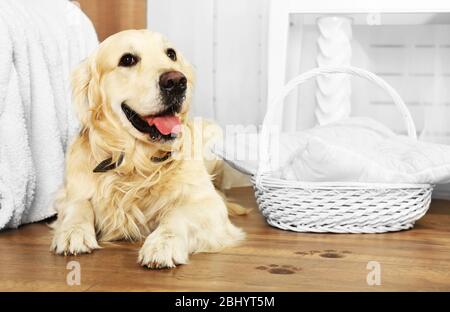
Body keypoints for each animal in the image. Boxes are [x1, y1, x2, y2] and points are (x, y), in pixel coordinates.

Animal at [49, 29, 244, 268]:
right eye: (127, 59)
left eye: (171, 54)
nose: (177, 81)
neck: (136, 163)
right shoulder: (66, 194)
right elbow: (78, 205)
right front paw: (73, 231)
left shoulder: (208, 203)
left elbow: (177, 214)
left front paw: (163, 243)